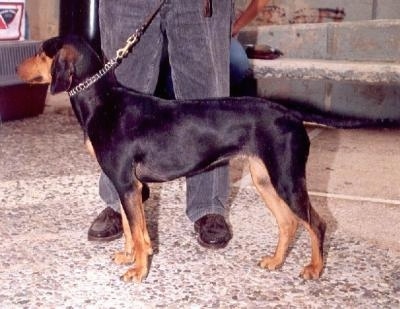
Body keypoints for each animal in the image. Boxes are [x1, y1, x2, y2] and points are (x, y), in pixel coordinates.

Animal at [16, 35, 396, 282]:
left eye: (42, 52)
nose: (17, 69)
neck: (102, 100)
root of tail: (287, 112)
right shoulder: (125, 186)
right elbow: (128, 226)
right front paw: (129, 256)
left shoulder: (127, 183)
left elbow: (140, 233)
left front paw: (139, 270)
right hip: (265, 178)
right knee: (288, 223)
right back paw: (275, 262)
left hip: (287, 179)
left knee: (316, 224)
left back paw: (315, 270)